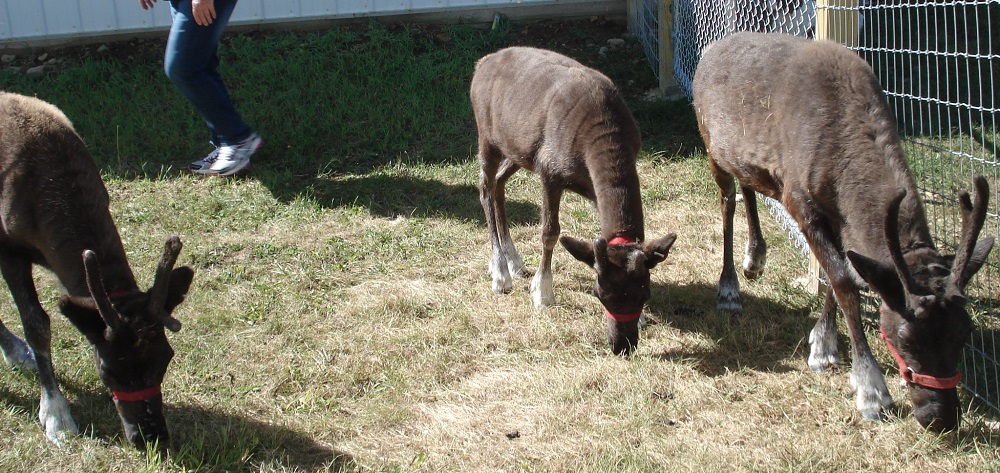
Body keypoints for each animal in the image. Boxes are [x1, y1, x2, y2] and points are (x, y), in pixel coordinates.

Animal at [0, 91, 193, 449]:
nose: (149, 436)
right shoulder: (9, 249)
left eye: (166, 359)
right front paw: (55, 414)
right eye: (109, 371)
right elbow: (37, 323)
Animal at [470, 46, 677, 356]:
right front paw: (542, 294)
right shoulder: (550, 171)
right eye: (600, 293)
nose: (622, 345)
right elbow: (549, 232)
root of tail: (481, 63)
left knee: (499, 184)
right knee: (485, 187)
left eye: (645, 293)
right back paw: (500, 272)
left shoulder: (591, 186)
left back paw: (514, 260)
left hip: (518, 148)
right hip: (486, 136)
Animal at [692, 32, 993, 431]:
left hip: (747, 157)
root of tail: (713, 48)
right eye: (904, 338)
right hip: (711, 143)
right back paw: (729, 287)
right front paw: (871, 389)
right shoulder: (800, 201)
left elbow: (842, 272)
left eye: (965, 333)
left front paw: (823, 343)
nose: (939, 417)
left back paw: (755, 257)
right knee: (727, 202)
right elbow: (843, 279)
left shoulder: (838, 217)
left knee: (748, 184)